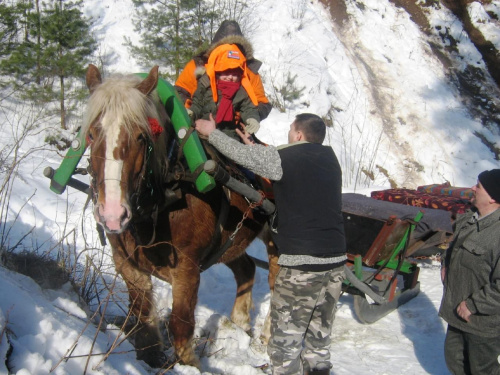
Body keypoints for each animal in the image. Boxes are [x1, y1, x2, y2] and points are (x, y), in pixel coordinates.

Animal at [81, 64, 278, 368]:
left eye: (142, 136)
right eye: (91, 134)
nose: (112, 214)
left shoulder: (187, 269)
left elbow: (181, 325)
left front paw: (188, 365)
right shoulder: (127, 264)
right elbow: (142, 318)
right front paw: (149, 358)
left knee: (277, 284)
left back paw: (266, 336)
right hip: (230, 241)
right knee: (246, 269)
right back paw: (240, 323)